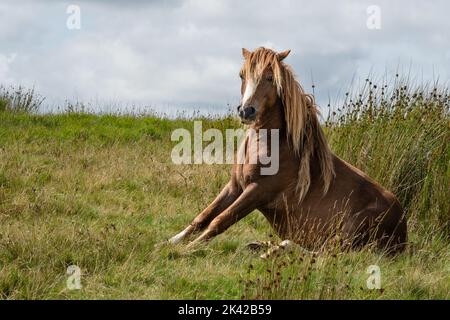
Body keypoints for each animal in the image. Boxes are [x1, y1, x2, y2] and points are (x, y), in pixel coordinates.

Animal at [169, 46, 408, 254]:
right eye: (241, 75)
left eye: (270, 78)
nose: (246, 111)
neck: (272, 146)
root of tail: (403, 230)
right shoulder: (235, 186)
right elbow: (204, 216)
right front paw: (171, 242)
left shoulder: (257, 191)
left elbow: (220, 221)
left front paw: (187, 250)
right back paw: (258, 245)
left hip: (349, 233)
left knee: (324, 253)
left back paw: (277, 249)